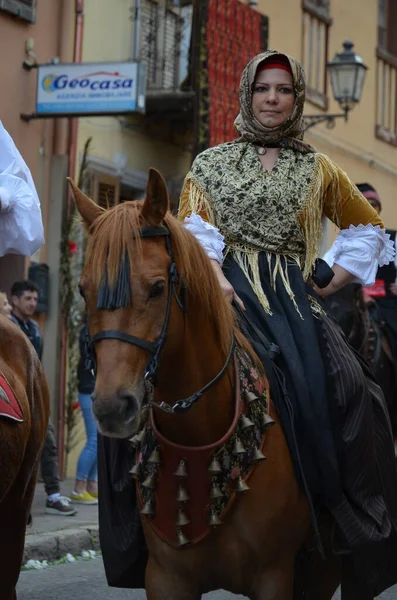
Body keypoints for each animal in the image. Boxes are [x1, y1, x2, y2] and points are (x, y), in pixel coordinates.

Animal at [69, 170, 342, 600]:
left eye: (157, 288)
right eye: (83, 289)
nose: (112, 408)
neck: (197, 434)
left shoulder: (275, 577)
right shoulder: (166, 578)